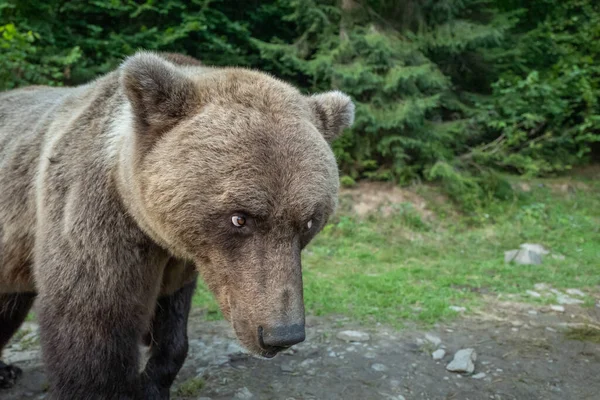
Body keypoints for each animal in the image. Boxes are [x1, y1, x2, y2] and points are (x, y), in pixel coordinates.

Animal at [0, 51, 354, 398]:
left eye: (309, 221)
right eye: (240, 218)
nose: (282, 333)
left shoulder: (182, 261)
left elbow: (173, 325)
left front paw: (152, 382)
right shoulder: (95, 218)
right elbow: (93, 330)